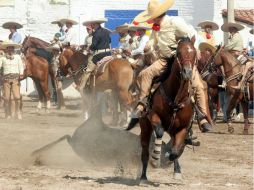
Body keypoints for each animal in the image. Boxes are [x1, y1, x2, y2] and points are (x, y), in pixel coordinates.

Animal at [135, 38, 196, 183]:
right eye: (179, 53)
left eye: (194, 53)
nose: (187, 72)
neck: (175, 100)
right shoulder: (154, 116)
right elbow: (159, 131)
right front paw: (155, 159)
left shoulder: (183, 128)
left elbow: (175, 152)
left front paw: (175, 168)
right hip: (145, 126)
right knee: (145, 152)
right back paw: (143, 177)